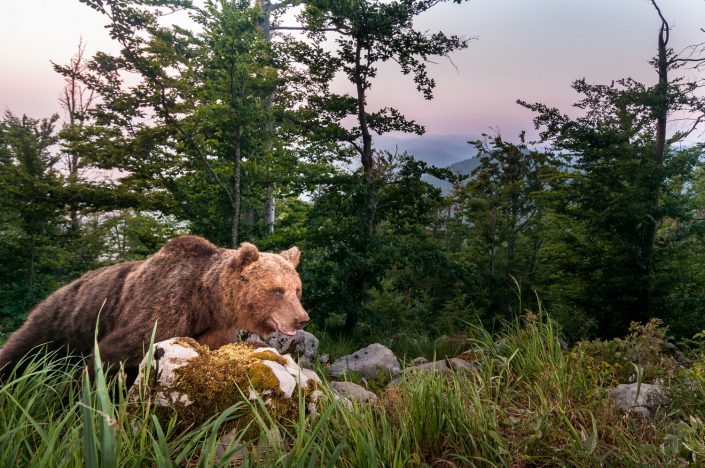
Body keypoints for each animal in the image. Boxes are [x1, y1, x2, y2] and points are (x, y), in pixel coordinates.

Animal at [0, 236, 308, 382]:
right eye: (277, 290)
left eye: (297, 289)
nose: (302, 319)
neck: (207, 303)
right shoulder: (166, 307)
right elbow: (117, 353)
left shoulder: (214, 330)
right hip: (60, 320)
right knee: (21, 351)